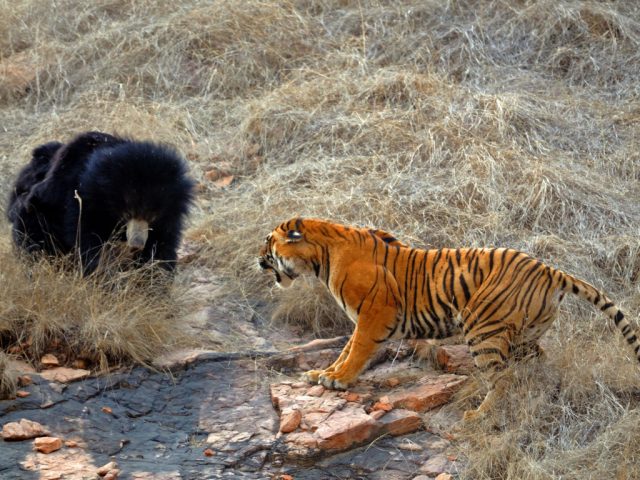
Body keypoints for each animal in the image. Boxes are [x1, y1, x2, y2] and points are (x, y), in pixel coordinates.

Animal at [8, 131, 195, 276]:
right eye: (127, 212)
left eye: (152, 215)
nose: (136, 245)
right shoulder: (81, 202)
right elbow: (89, 241)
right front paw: (106, 276)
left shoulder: (169, 216)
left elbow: (162, 244)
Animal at [258, 218, 636, 420]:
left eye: (268, 242)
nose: (258, 259)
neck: (321, 259)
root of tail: (549, 269)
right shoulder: (363, 318)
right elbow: (346, 349)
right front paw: (323, 373)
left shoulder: (375, 314)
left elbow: (357, 350)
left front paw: (339, 380)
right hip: (523, 335)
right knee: (535, 365)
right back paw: (539, 394)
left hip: (481, 328)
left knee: (502, 378)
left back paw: (480, 415)